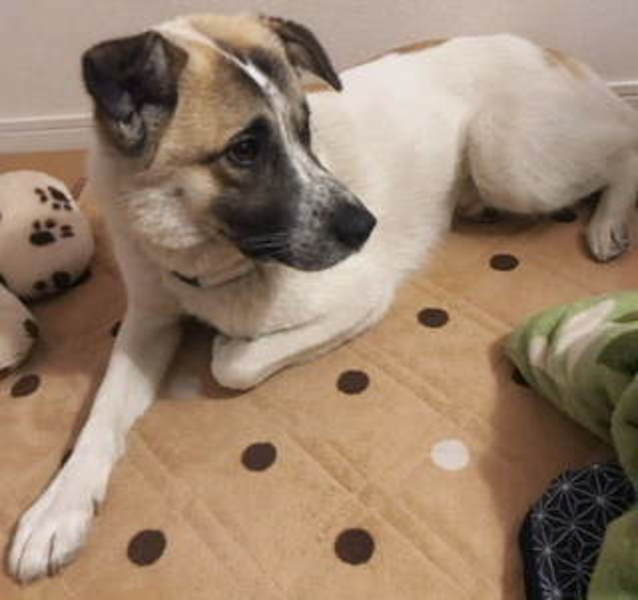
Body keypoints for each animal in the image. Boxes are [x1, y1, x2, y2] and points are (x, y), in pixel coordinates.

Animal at [8, 12, 638, 582]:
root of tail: (551, 53)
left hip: (509, 161)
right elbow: (100, 415)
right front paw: (58, 509)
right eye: (244, 150)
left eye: (304, 127)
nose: (367, 226)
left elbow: (233, 363)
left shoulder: (361, 296)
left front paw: (226, 342)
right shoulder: (147, 322)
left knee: (624, 146)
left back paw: (607, 221)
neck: (206, 256)